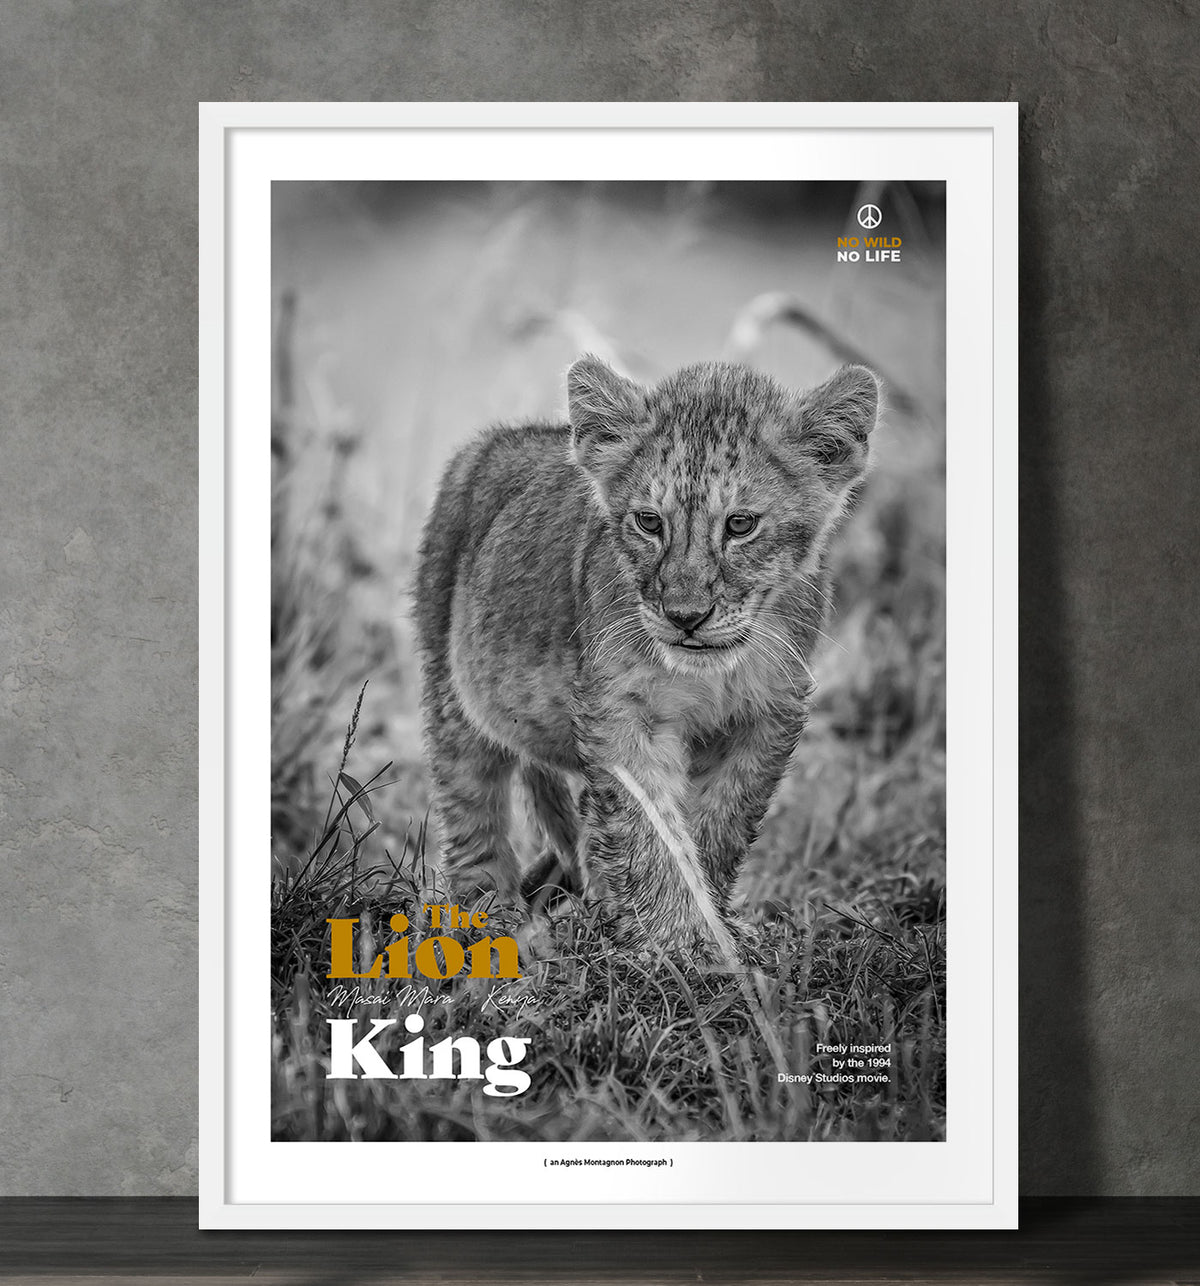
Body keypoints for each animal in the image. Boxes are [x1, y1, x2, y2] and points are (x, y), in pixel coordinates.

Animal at [413, 356, 879, 956]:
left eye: (741, 524)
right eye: (649, 522)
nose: (685, 616)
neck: (710, 673)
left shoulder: (768, 714)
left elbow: (719, 825)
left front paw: (708, 926)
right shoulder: (619, 707)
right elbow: (649, 826)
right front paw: (674, 939)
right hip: (451, 688)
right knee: (473, 808)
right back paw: (487, 920)